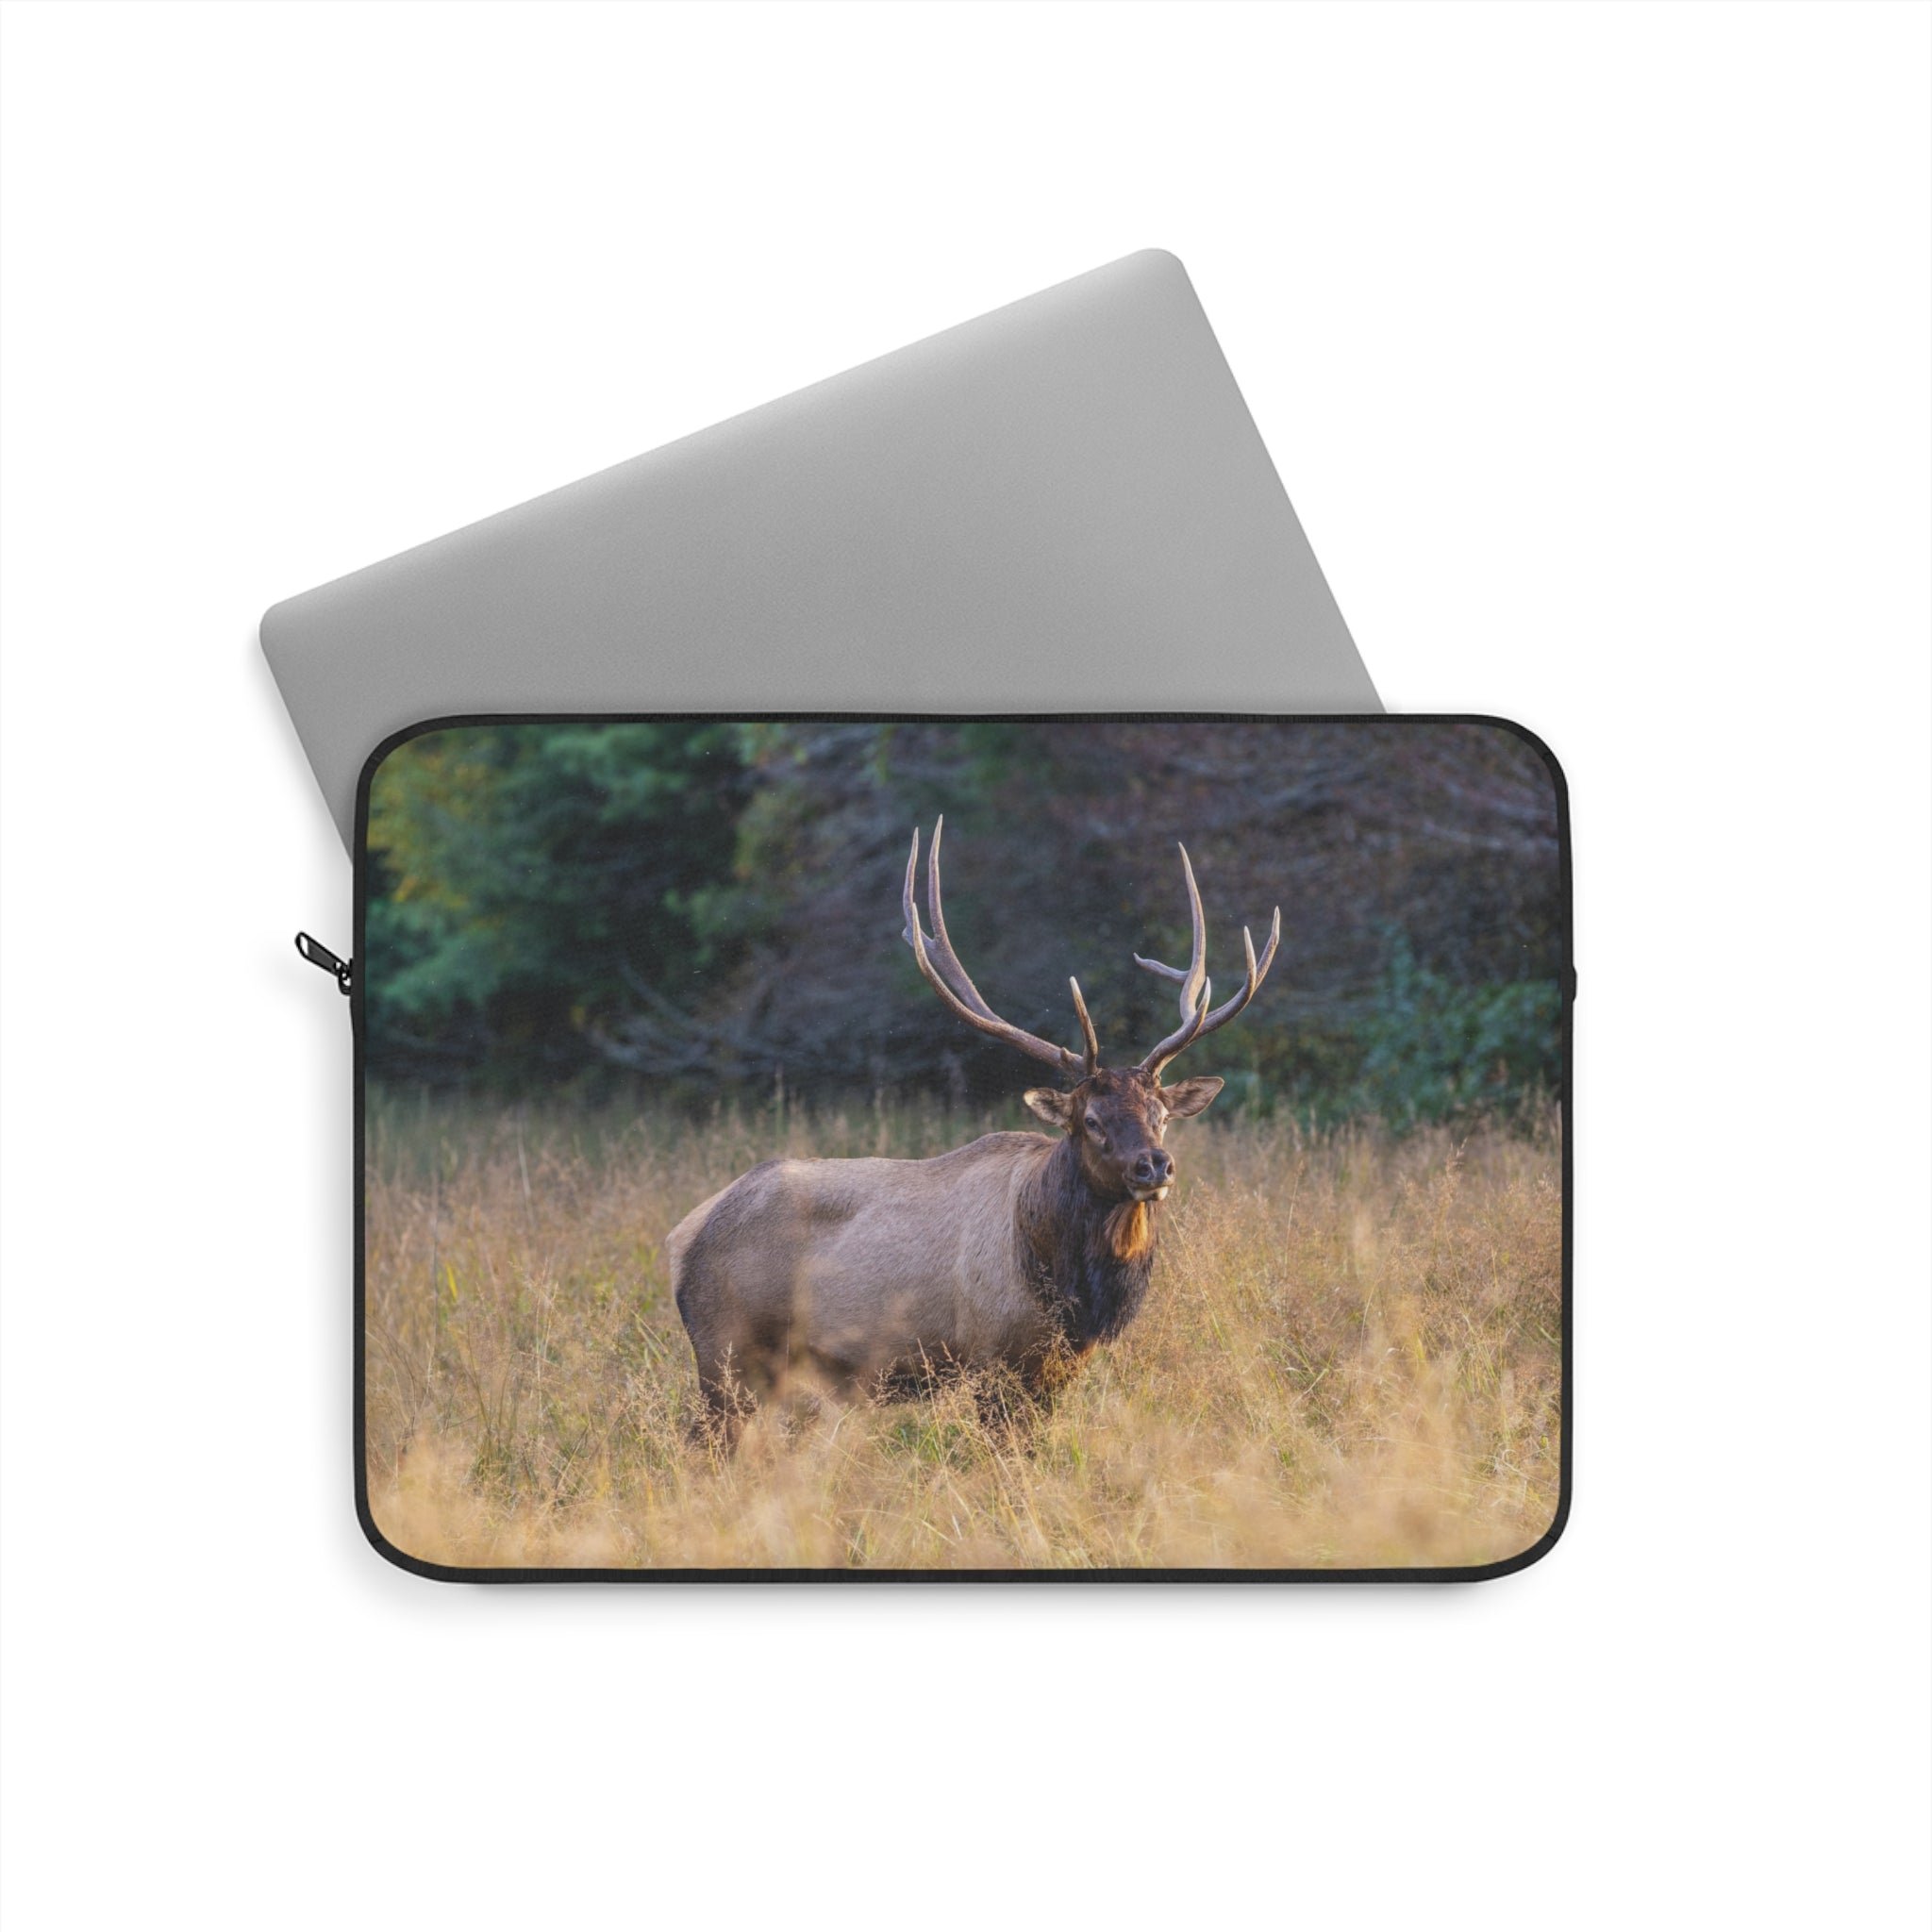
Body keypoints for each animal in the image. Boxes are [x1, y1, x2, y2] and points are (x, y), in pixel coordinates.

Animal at [666, 819, 1280, 1443]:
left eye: (1161, 1115)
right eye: (1091, 1121)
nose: (1153, 1164)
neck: (1070, 1288)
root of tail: (682, 1237)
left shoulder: (1058, 1367)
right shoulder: (991, 1358)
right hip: (727, 1352)